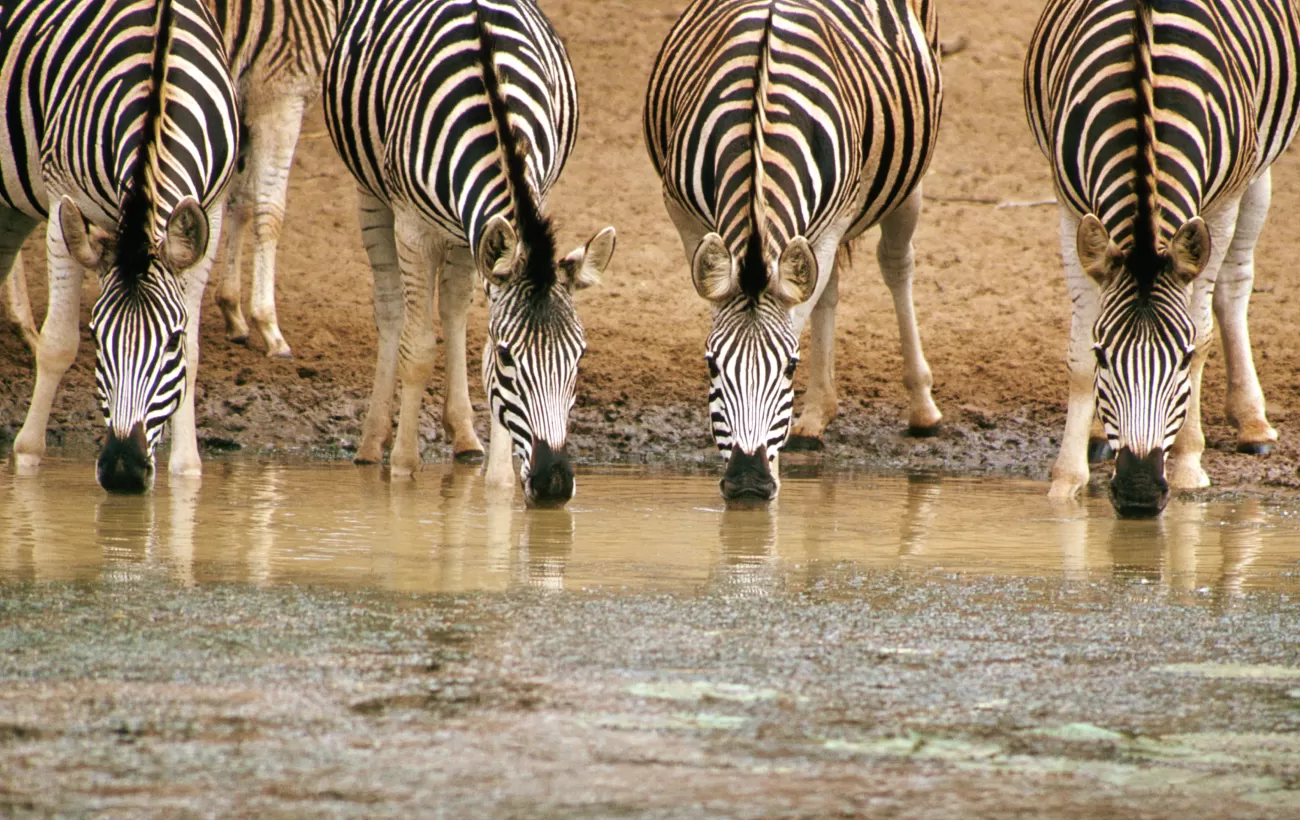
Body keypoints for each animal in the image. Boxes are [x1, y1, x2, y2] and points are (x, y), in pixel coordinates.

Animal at [0, 0, 239, 493]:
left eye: (171, 341)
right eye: (97, 338)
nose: (123, 470)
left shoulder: (214, 208)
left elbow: (195, 353)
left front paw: (187, 469)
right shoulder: (62, 198)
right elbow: (57, 343)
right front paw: (27, 457)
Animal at [208, 0, 343, 358]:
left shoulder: (243, 104)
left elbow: (241, 203)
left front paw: (232, 311)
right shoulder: (280, 98)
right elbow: (271, 210)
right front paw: (268, 325)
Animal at [319, 0, 613, 506]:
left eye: (580, 358)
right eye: (509, 359)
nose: (554, 484)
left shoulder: (532, 203)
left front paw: (498, 483)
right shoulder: (414, 229)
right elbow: (418, 349)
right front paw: (403, 466)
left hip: (465, 235)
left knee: (453, 306)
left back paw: (464, 438)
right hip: (372, 193)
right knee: (392, 311)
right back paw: (373, 444)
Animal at [647, 0, 946, 504]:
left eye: (789, 367)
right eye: (710, 364)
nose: (748, 484)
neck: (757, 127)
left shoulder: (838, 214)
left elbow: (798, 316)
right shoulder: (682, 213)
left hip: (907, 176)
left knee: (895, 264)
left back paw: (922, 407)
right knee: (827, 287)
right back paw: (815, 416)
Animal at [1024, 0, 1300, 517]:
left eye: (1182, 356)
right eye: (1104, 354)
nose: (1138, 493)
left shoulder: (1221, 204)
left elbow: (1205, 332)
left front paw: (1189, 462)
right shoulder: (1070, 207)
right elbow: (1077, 356)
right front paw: (1066, 481)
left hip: (1257, 167)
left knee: (1233, 286)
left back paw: (1252, 421)